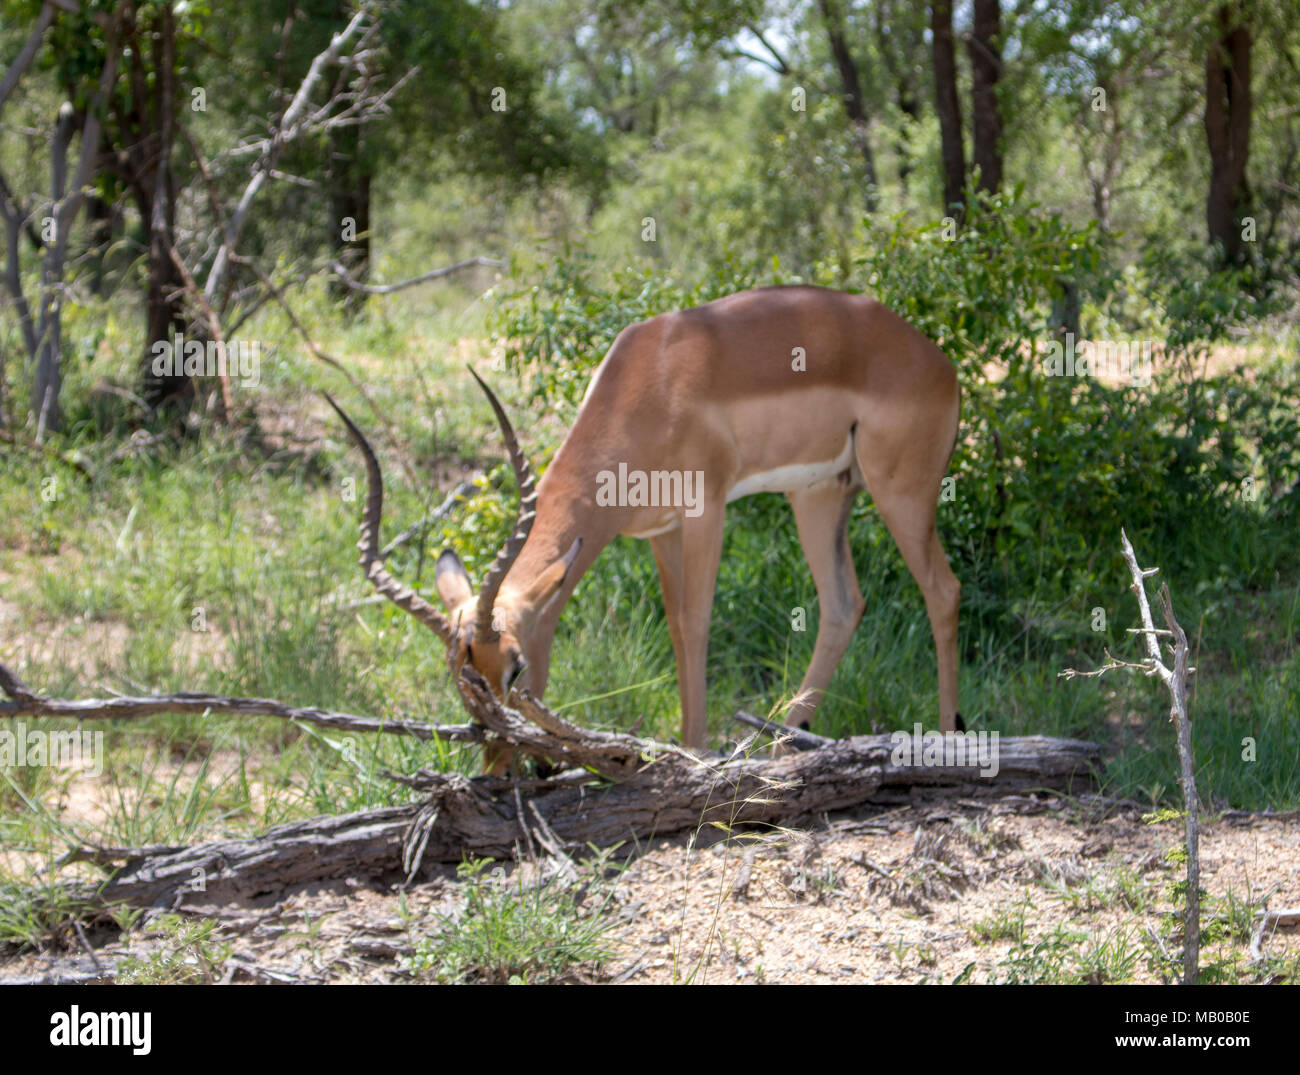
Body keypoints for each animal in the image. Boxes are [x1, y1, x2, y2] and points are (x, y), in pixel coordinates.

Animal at [330, 285, 961, 759]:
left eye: (514, 666)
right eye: (461, 676)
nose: (503, 760)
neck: (647, 385)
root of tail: (939, 361)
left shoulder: (706, 509)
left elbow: (698, 624)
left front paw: (697, 754)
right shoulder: (661, 531)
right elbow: (678, 630)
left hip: (901, 492)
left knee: (943, 589)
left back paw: (947, 736)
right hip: (818, 495)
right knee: (843, 605)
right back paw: (785, 743)